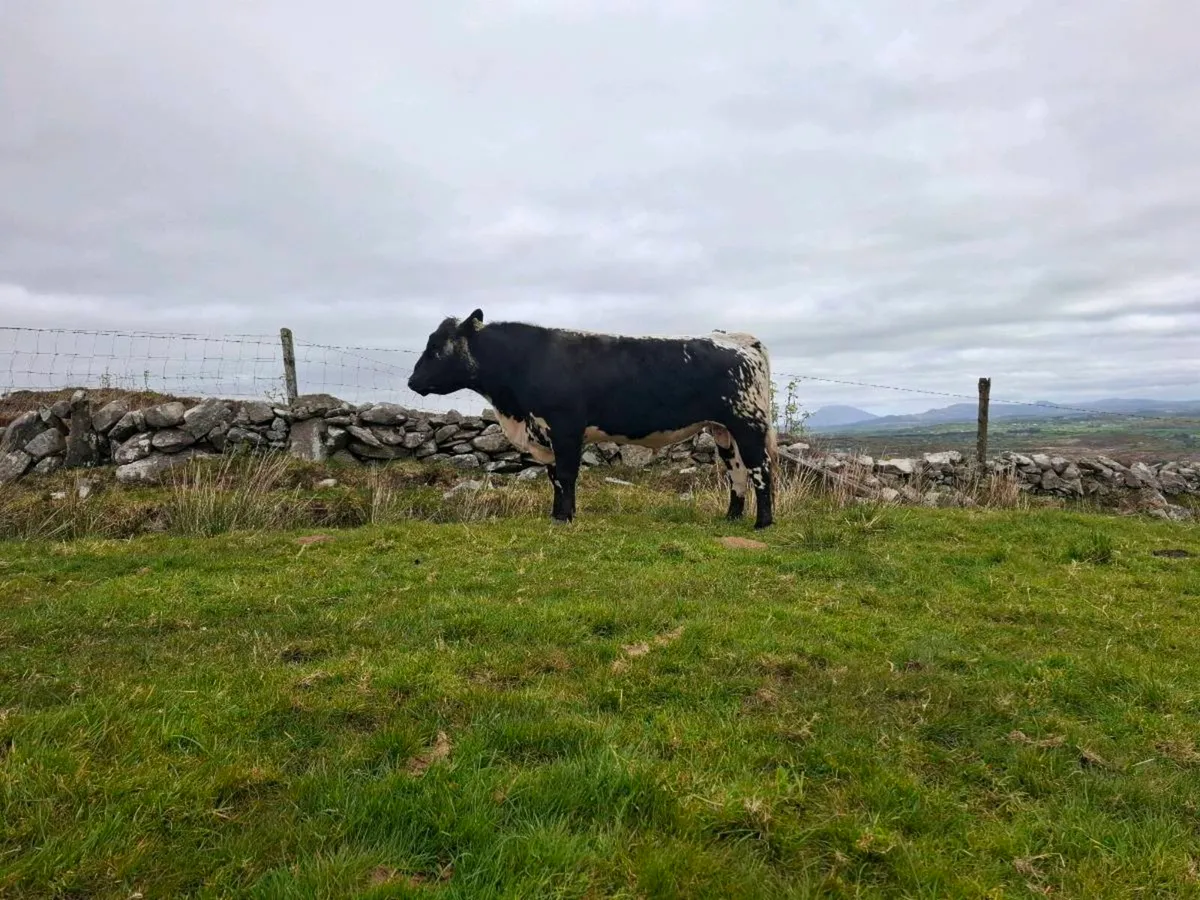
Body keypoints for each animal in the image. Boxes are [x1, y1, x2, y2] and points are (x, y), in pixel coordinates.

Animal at [407, 310, 778, 528]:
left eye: (437, 348)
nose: (412, 381)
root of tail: (737, 338)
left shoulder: (565, 427)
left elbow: (566, 474)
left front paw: (564, 518)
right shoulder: (546, 432)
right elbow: (554, 476)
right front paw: (556, 514)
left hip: (748, 423)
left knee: (760, 470)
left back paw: (763, 523)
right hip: (723, 431)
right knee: (736, 472)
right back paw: (730, 518)